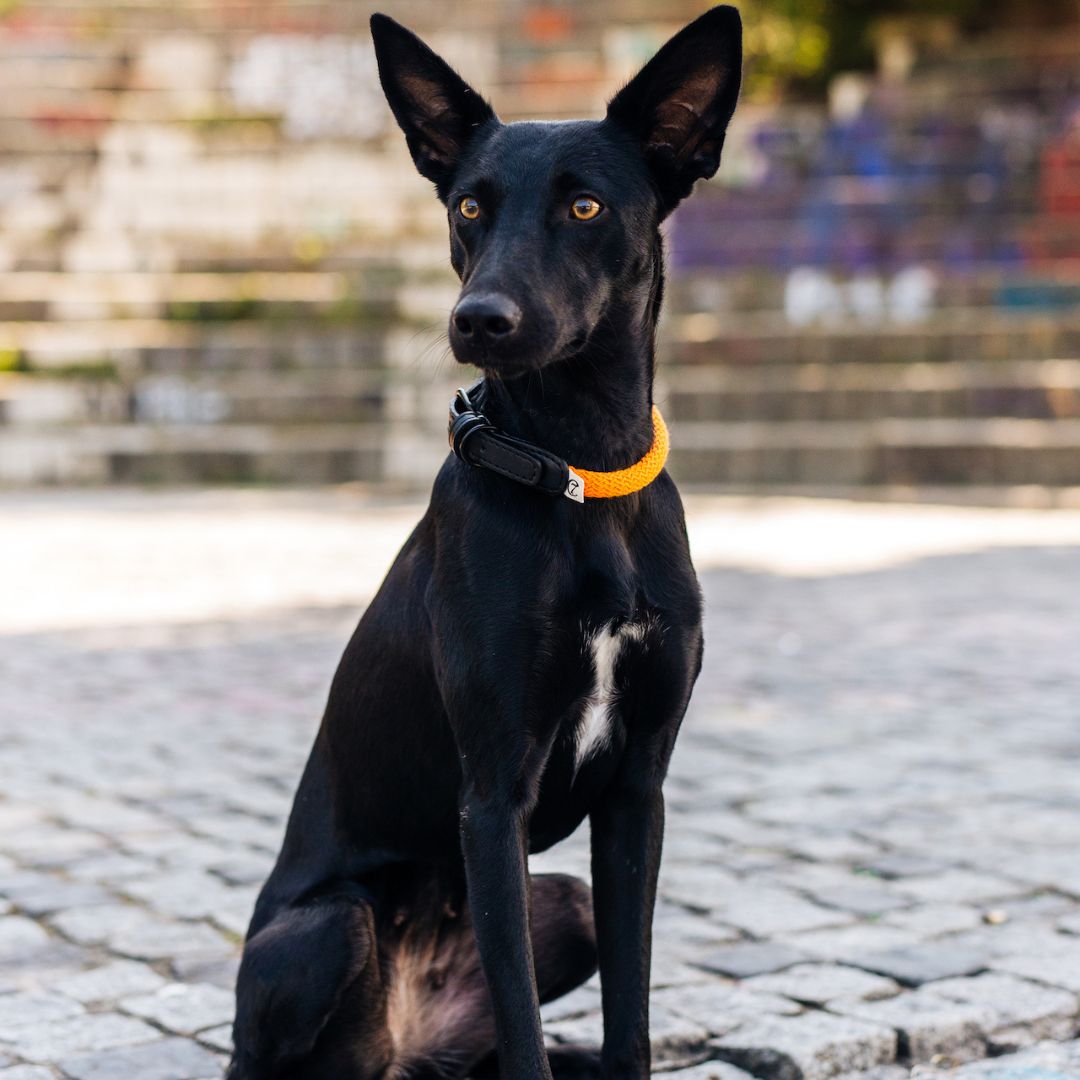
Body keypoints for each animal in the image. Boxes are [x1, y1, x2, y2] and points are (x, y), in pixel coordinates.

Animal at [231, 10, 738, 1080]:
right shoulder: (492, 797)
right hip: (329, 928)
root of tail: (405, 1046)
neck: (579, 472)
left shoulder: (638, 793)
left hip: (566, 906)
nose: (478, 321)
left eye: (585, 206)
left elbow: (629, 1013)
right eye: (469, 206)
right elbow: (522, 1023)